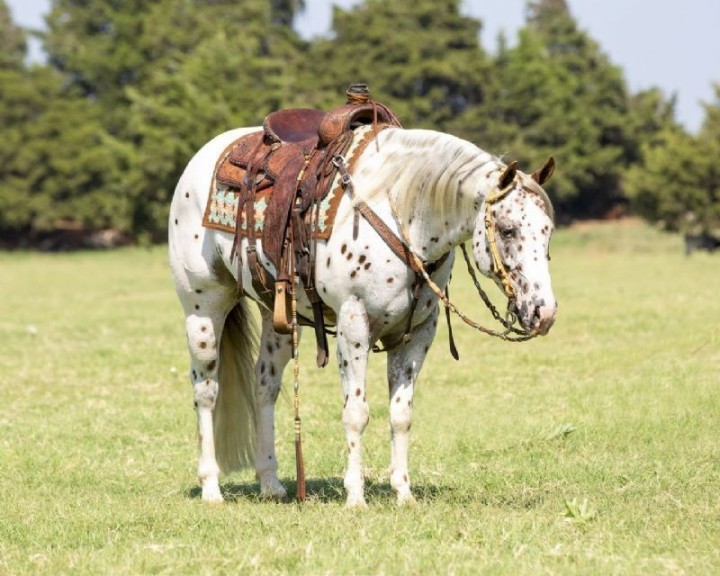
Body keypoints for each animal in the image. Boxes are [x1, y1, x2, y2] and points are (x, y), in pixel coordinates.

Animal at [168, 123, 558, 508]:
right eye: (507, 229)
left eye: (547, 232)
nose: (545, 312)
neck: (397, 212)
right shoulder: (353, 326)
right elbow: (356, 413)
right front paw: (355, 495)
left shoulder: (417, 334)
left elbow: (401, 415)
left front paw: (403, 493)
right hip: (203, 311)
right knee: (206, 391)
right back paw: (211, 489)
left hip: (277, 318)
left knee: (265, 386)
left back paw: (271, 483)